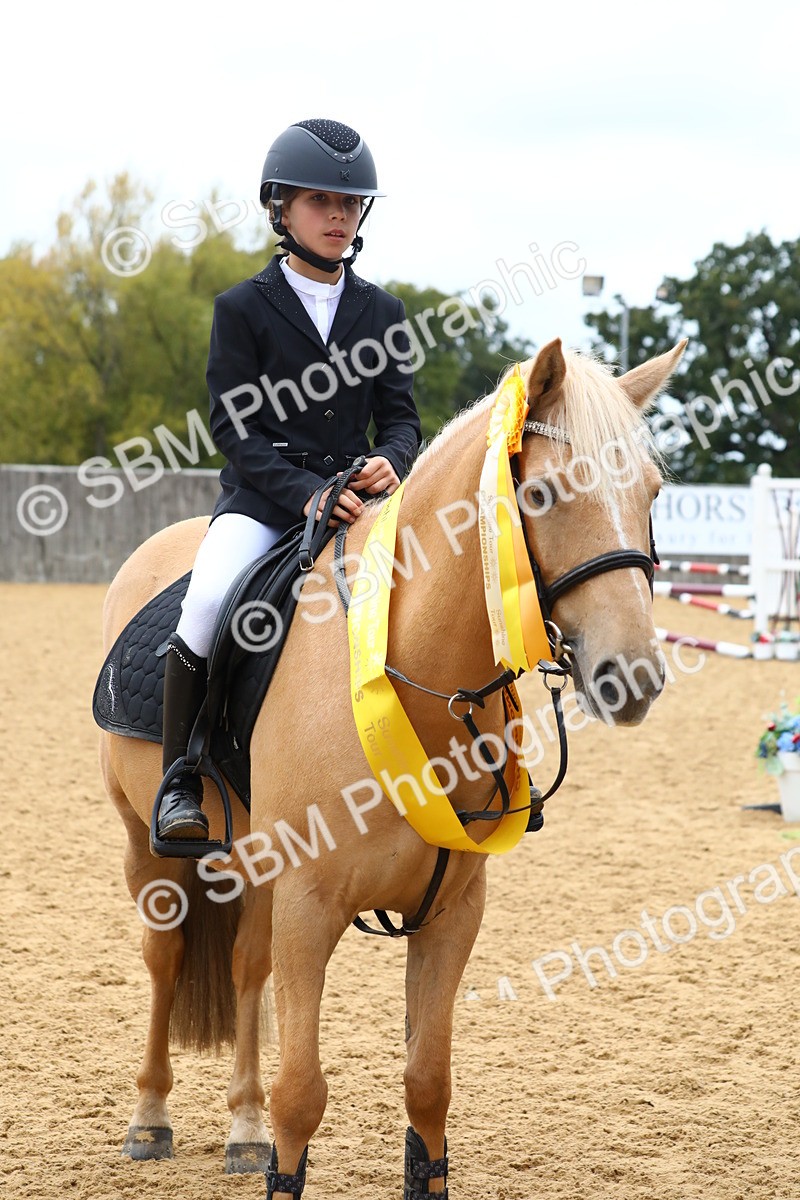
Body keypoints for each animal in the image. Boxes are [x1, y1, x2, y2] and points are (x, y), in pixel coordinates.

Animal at [98, 336, 685, 1196]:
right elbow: (302, 1097)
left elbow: (428, 1086)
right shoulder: (309, 907)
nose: (633, 674)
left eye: (651, 492)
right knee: (166, 957)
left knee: (245, 968)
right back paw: (150, 1119)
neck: (414, 678)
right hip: (147, 843)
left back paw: (242, 1128)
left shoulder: (451, 912)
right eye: (540, 494)